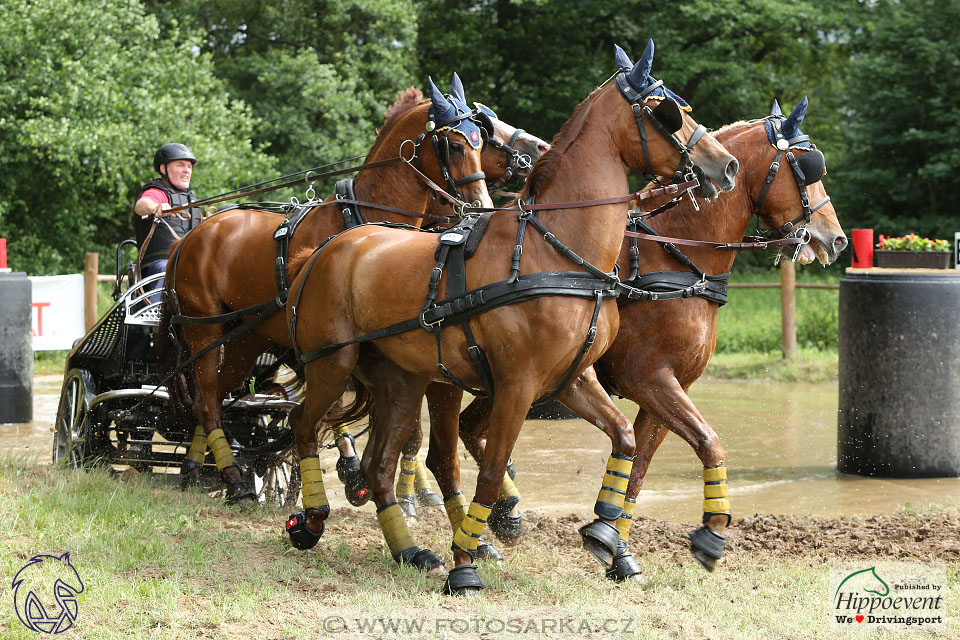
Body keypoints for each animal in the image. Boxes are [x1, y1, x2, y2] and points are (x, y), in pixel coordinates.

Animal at [156, 76, 510, 500]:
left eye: (479, 142)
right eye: (455, 145)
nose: (481, 203)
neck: (363, 218)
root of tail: (188, 238)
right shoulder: (331, 340)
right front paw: (354, 470)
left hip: (245, 337)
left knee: (214, 397)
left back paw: (197, 470)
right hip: (204, 330)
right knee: (208, 400)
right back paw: (235, 478)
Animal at [282, 41, 740, 596]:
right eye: (663, 110)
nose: (726, 165)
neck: (557, 253)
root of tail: (323, 250)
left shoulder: (574, 379)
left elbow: (627, 440)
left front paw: (607, 533)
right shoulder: (520, 385)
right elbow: (492, 468)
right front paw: (465, 562)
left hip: (403, 379)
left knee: (381, 463)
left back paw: (409, 550)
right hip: (332, 363)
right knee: (304, 426)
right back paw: (310, 518)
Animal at [454, 95, 844, 580]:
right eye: (806, 168)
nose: (838, 239)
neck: (677, 258)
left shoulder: (668, 387)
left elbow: (639, 467)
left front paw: (613, 545)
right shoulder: (649, 378)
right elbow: (709, 442)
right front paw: (710, 534)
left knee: (469, 427)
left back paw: (504, 513)